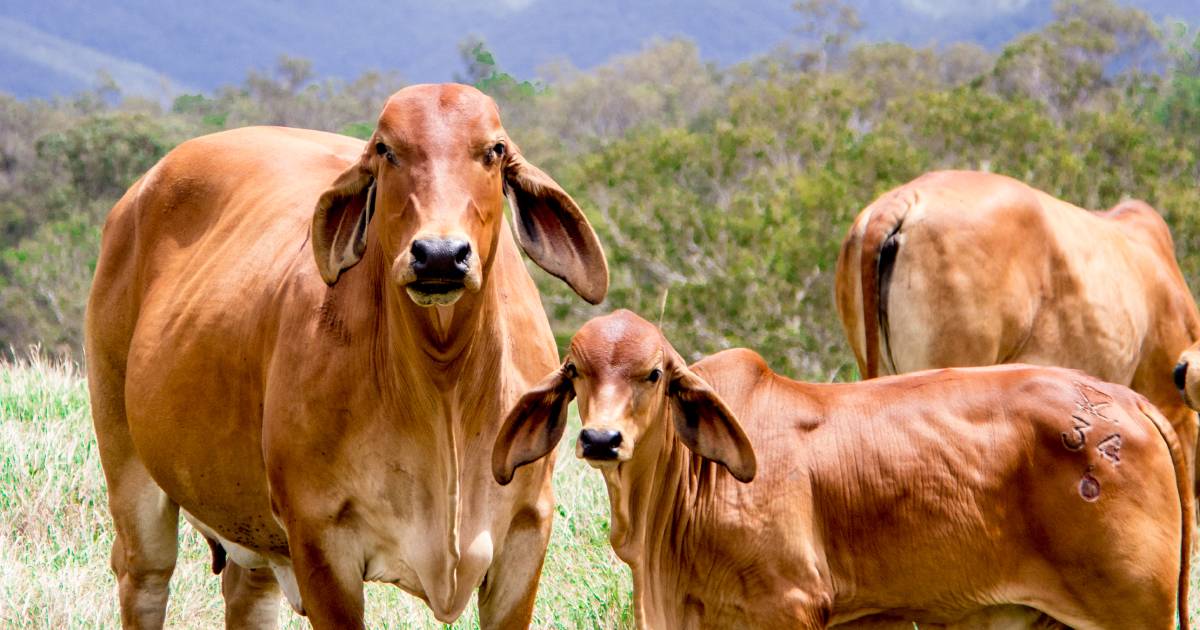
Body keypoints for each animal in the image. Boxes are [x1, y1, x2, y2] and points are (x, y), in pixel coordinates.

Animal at [85, 84, 609, 628]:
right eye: (385, 150)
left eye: (495, 150)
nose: (440, 255)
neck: (445, 384)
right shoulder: (320, 539)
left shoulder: (525, 535)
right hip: (125, 459)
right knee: (143, 576)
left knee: (246, 593)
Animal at [494, 309, 1190, 628]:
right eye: (575, 372)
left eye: (654, 375)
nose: (600, 438)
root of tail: (1128, 401)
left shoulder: (791, 606)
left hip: (1135, 608)